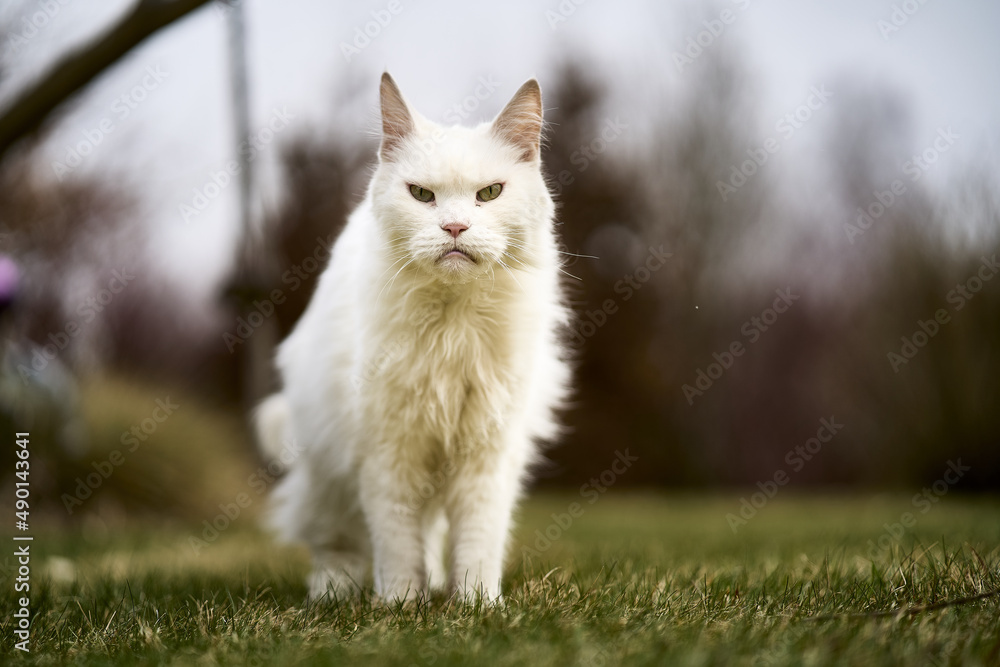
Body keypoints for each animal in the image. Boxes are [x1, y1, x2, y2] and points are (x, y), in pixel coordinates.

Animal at [256, 74, 572, 604]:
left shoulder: (487, 450)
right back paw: (334, 592)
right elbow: (395, 539)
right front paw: (400, 604)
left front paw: (478, 604)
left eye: (490, 193)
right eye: (422, 195)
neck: (453, 325)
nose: (455, 227)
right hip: (328, 472)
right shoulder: (390, 448)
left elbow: (477, 541)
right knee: (334, 542)